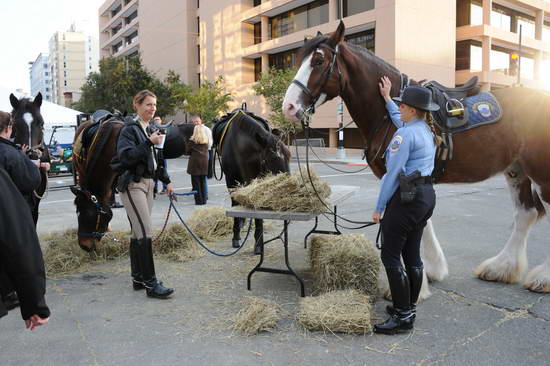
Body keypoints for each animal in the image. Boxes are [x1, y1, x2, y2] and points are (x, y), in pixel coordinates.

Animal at [211, 108, 292, 254]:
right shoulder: (231, 181)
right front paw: (236, 236)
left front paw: (259, 242)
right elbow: (235, 204)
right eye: (270, 159)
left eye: (289, 156)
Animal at [282, 21, 550, 294]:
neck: (391, 111)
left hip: (541, 174)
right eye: (298, 60)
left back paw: (542, 277)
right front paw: (431, 270)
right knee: (525, 214)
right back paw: (501, 267)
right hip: (517, 171)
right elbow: (422, 223)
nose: (288, 107)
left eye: (318, 61)